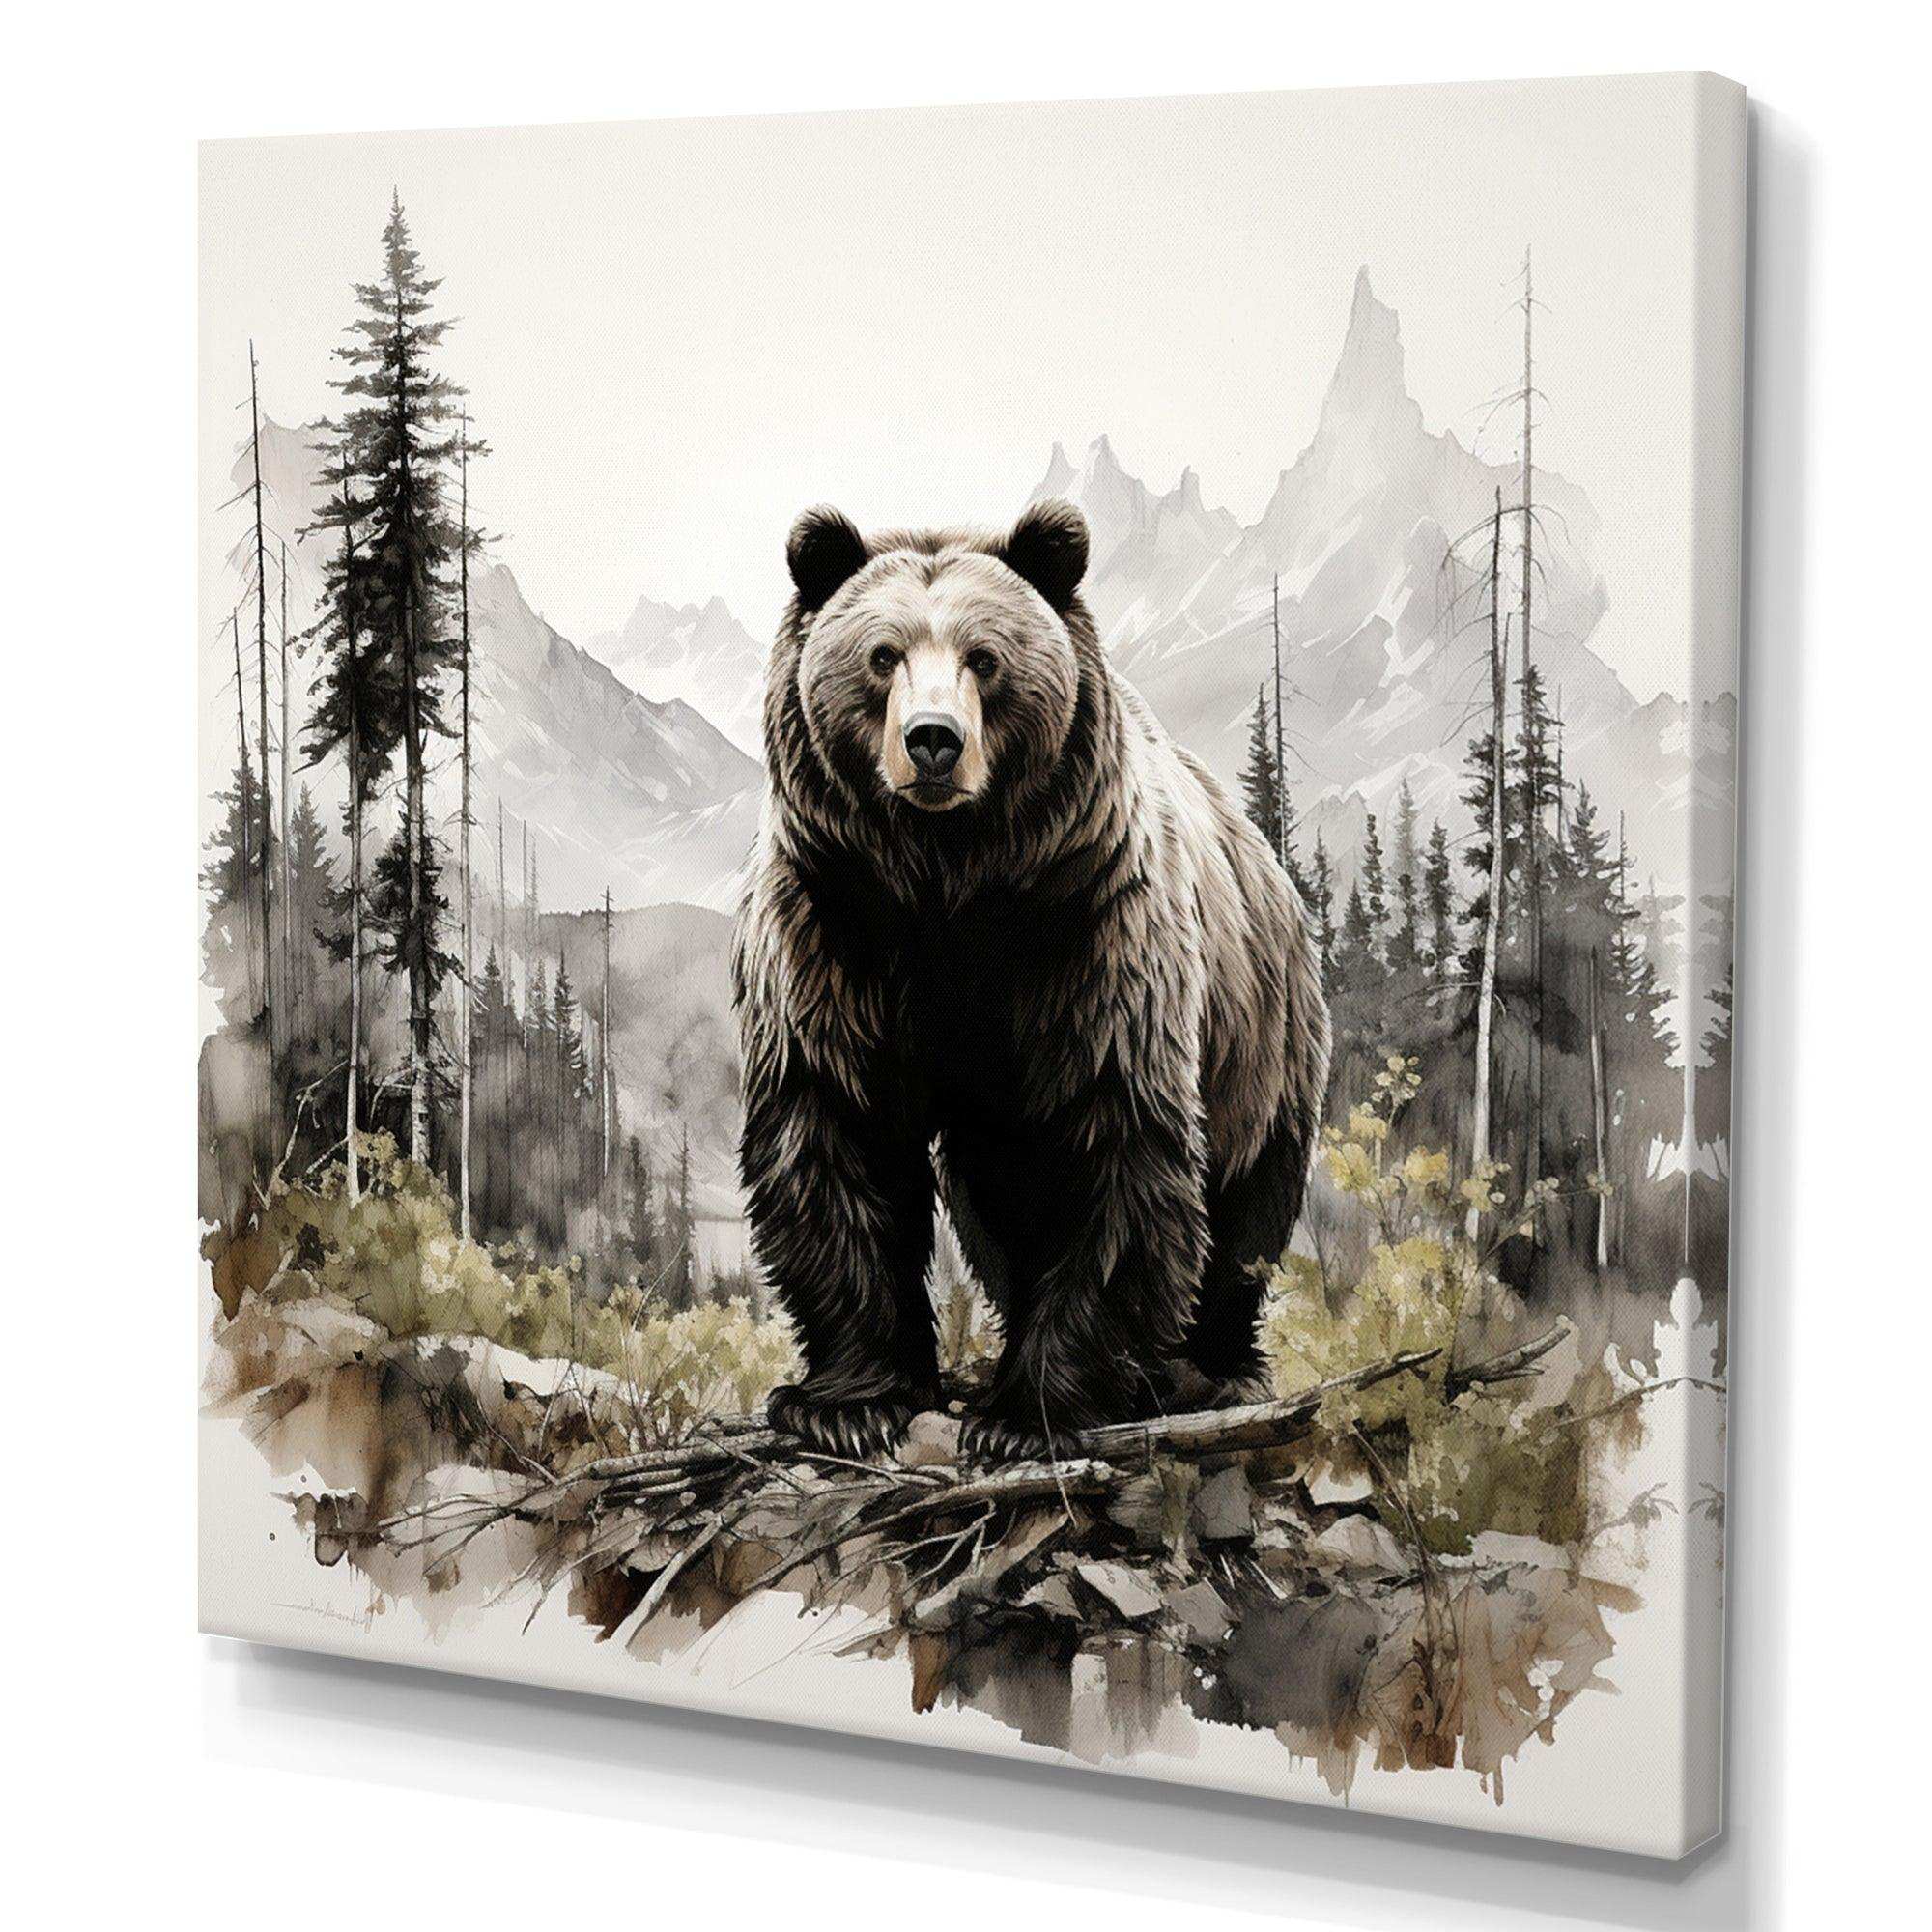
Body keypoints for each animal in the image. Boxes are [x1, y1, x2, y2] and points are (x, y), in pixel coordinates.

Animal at [732, 497, 1330, 1463]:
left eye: (985, 657)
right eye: (882, 655)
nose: (932, 741)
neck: (949, 879)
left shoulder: (1089, 928)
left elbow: (1110, 1141)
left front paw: (1025, 1415)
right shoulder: (831, 926)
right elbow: (834, 1125)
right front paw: (847, 1401)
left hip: (1263, 1033)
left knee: (1247, 1204)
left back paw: (1211, 1368)